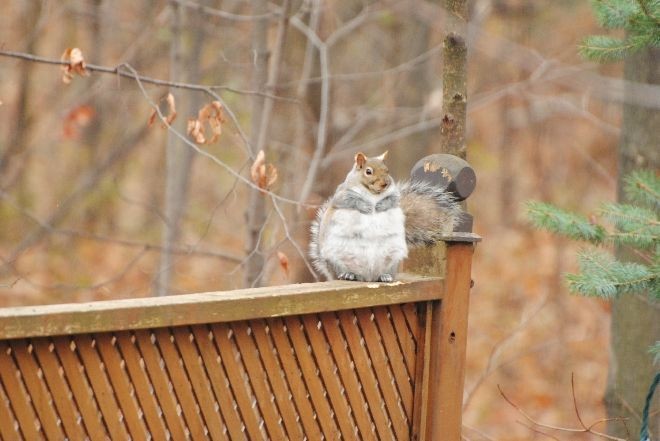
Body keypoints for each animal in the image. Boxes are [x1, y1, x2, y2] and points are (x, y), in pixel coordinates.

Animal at [308, 151, 458, 282]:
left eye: (387, 170)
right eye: (368, 171)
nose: (385, 183)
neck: (373, 194)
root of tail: (368, 277)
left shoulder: (393, 197)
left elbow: (392, 203)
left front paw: (381, 206)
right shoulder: (342, 196)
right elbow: (352, 202)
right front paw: (366, 206)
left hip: (391, 259)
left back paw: (385, 276)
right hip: (338, 257)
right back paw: (349, 275)